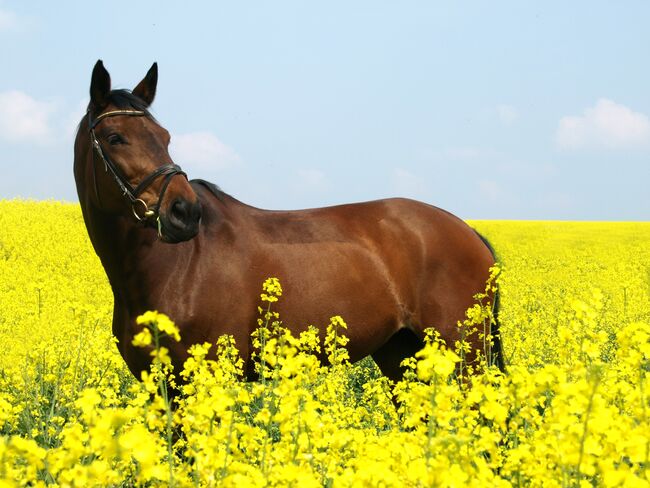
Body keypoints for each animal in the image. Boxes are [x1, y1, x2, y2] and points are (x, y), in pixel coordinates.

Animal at [73, 59, 504, 384]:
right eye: (114, 137)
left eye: (164, 135)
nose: (185, 213)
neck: (173, 268)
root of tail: (468, 231)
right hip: (401, 353)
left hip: (465, 359)